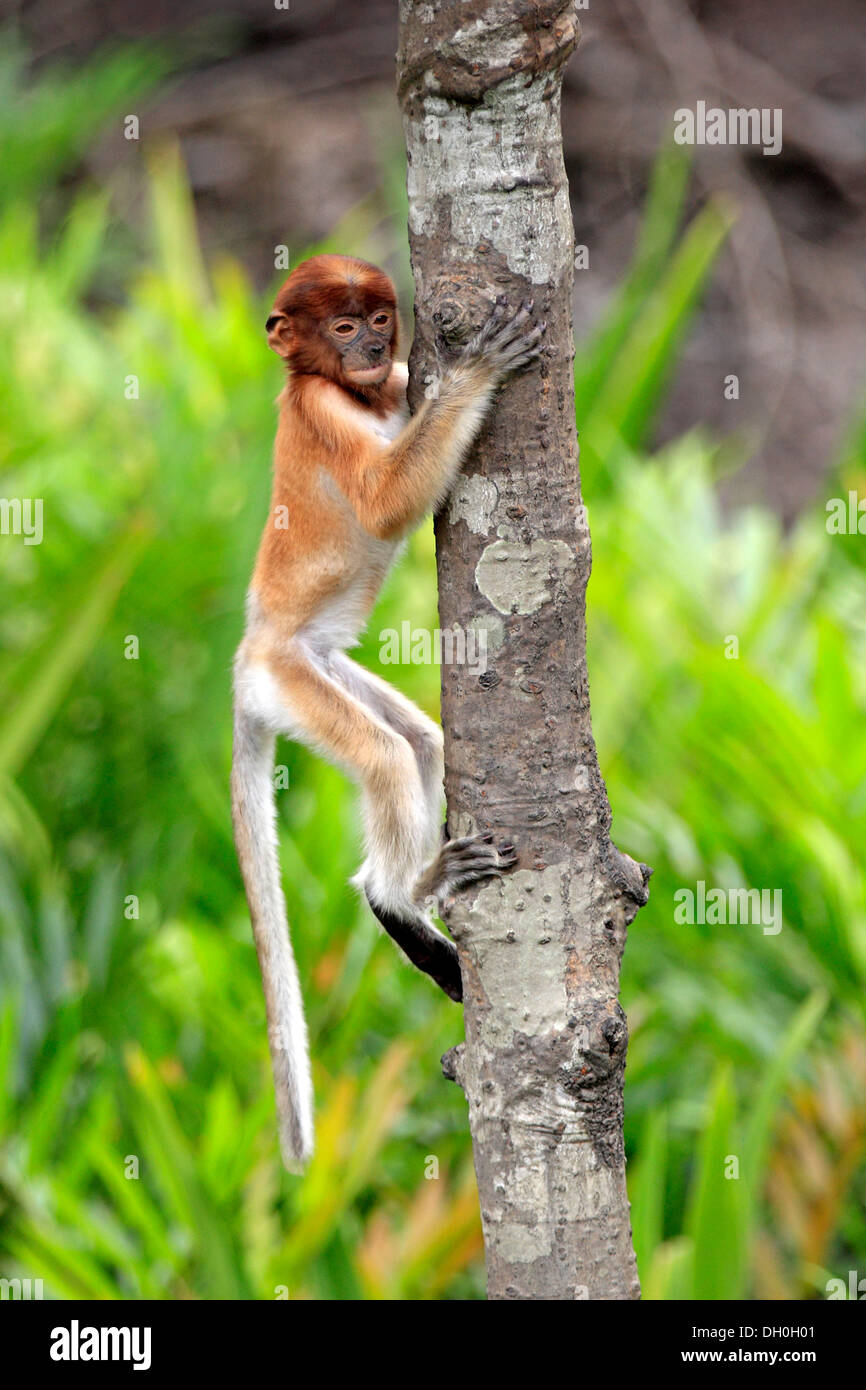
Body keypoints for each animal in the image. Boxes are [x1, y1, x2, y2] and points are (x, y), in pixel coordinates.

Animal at [230, 255, 542, 1167]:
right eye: (341, 329)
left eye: (377, 320)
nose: (370, 349)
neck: (346, 391)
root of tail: (250, 660)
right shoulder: (326, 412)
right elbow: (381, 502)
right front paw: (478, 369)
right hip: (292, 680)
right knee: (383, 757)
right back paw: (411, 888)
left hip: (323, 670)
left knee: (422, 743)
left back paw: (393, 896)